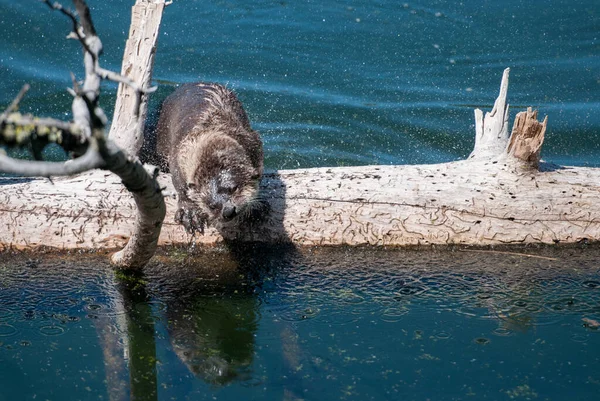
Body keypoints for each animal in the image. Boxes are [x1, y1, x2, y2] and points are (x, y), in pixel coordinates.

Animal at [155, 83, 264, 233]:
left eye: (233, 188)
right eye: (211, 205)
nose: (228, 211)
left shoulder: (253, 142)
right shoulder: (178, 155)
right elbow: (181, 186)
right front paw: (189, 212)